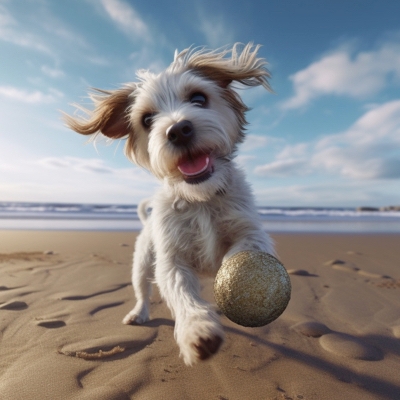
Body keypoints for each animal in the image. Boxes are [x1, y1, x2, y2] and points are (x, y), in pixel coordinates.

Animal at [66, 43, 276, 366]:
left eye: (199, 98)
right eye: (147, 120)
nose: (178, 130)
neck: (200, 198)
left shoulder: (251, 232)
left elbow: (241, 254)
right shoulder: (172, 259)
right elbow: (180, 292)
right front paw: (197, 330)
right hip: (141, 264)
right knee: (143, 292)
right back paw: (138, 313)